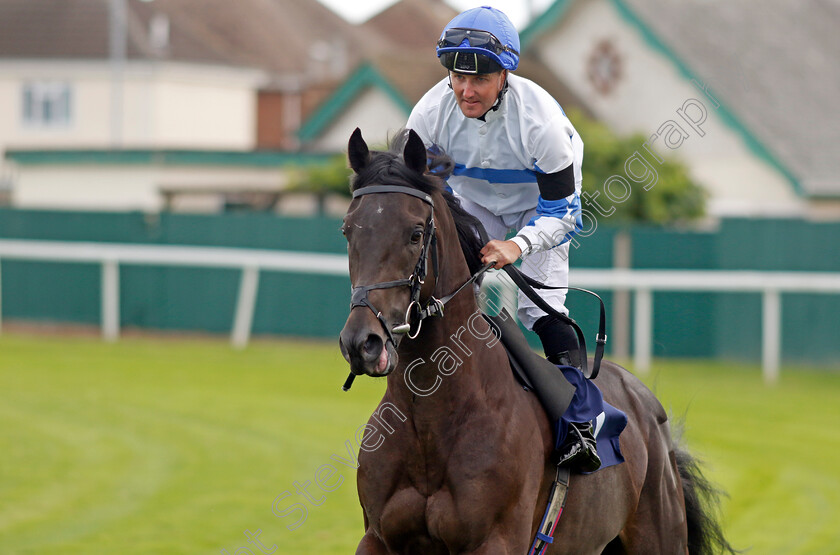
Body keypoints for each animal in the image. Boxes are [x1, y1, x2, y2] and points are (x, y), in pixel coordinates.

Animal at [338, 128, 732, 552]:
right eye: (347, 230)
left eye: (414, 234)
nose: (362, 342)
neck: (429, 419)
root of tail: (646, 403)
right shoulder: (378, 538)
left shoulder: (494, 540)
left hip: (660, 536)